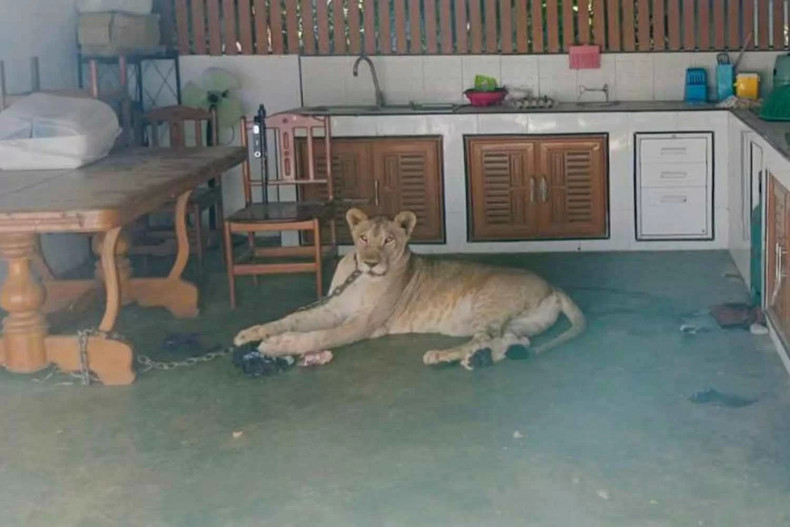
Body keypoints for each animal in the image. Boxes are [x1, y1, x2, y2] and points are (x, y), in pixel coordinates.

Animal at [233, 208, 586, 369]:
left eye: (389, 240)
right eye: (363, 238)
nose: (371, 262)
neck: (361, 277)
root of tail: (553, 285)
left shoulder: (363, 324)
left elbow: (320, 336)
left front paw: (276, 346)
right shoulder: (334, 308)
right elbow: (293, 318)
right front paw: (251, 333)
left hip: (489, 304)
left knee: (484, 337)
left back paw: (442, 356)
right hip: (518, 323)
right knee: (510, 340)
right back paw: (477, 360)